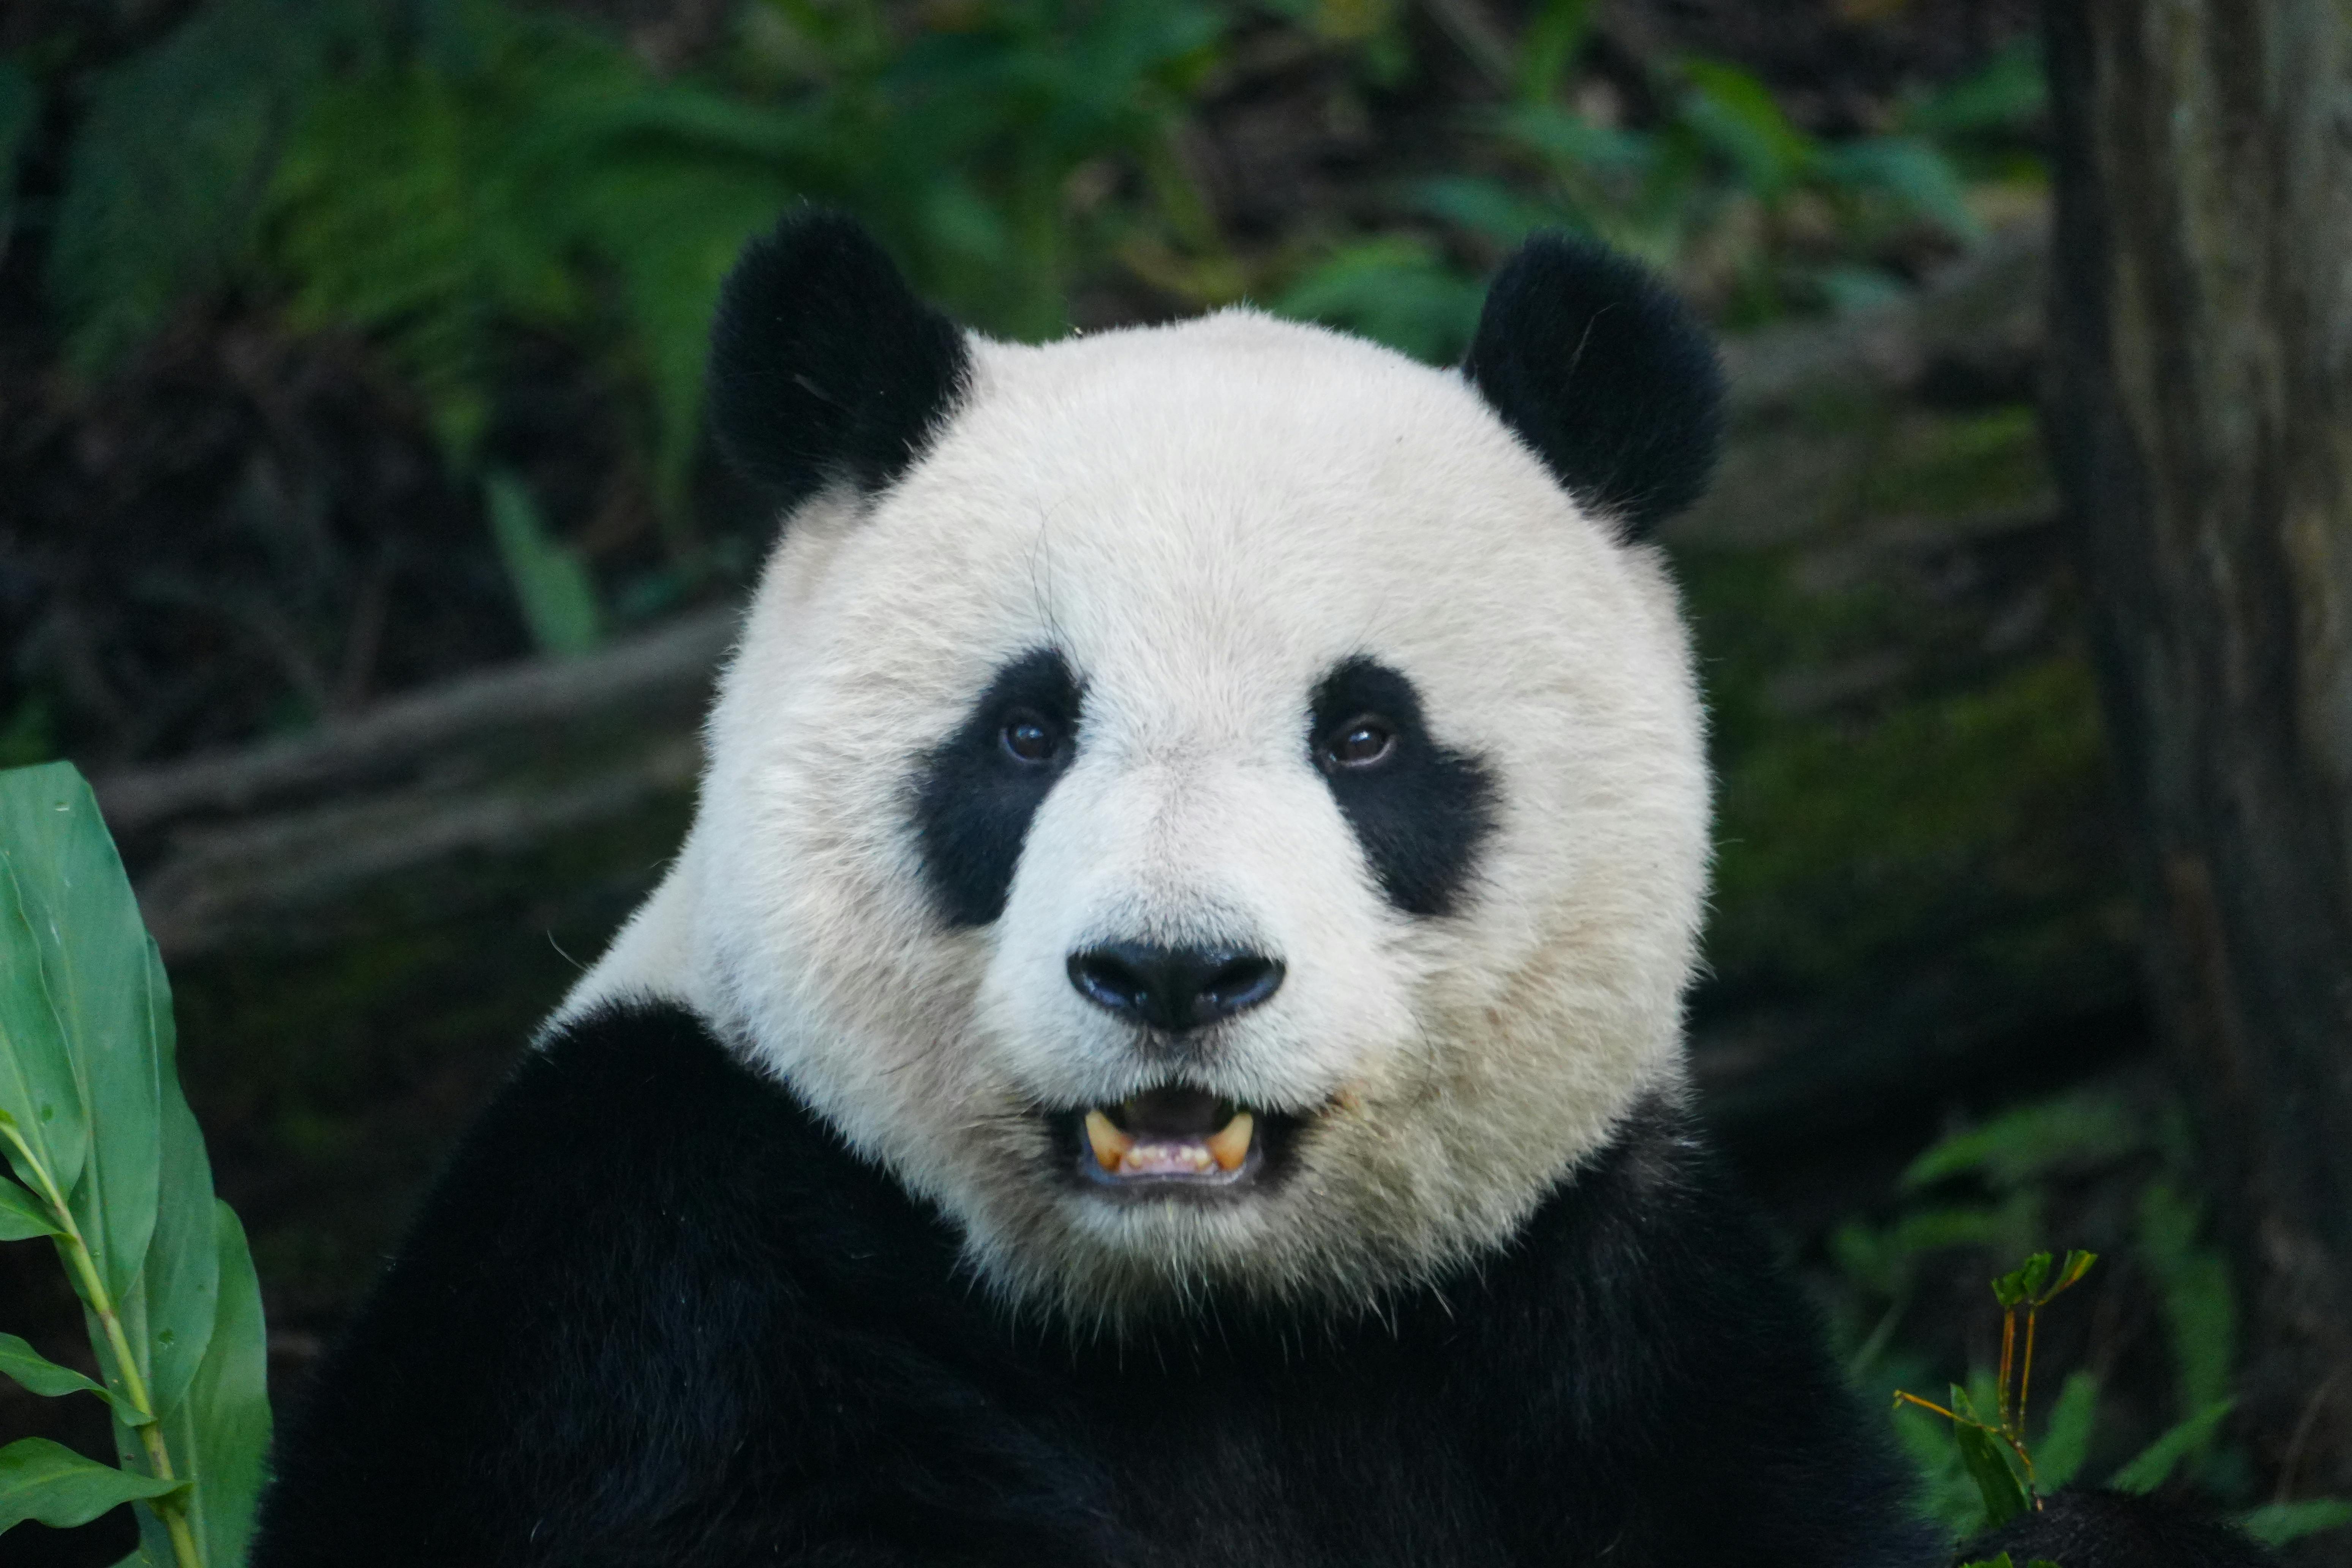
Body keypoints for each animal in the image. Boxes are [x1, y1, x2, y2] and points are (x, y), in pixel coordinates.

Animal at [247, 212, 2272, 1568]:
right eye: (1027, 727)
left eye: (1366, 735)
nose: (1172, 972)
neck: (1210, 1328)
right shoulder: (661, 1280)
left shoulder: (1598, 1313)